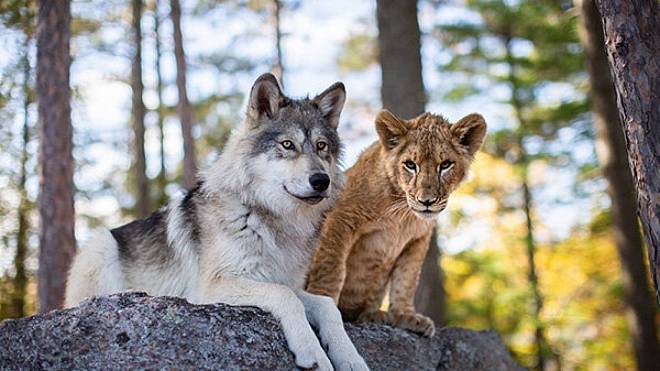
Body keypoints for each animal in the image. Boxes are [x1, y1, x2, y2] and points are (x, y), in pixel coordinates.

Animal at [67, 73, 372, 371]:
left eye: (322, 147)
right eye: (288, 145)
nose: (322, 181)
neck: (271, 219)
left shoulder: (285, 281)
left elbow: (326, 305)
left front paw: (351, 358)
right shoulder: (212, 287)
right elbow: (285, 296)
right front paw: (313, 353)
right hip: (101, 244)